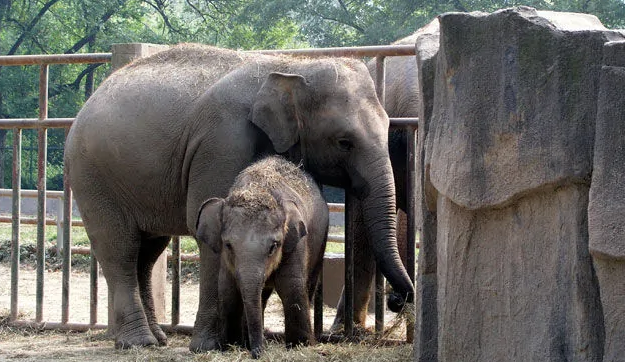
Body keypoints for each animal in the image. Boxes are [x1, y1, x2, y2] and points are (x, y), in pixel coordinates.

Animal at [196, 156, 330, 360]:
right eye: (228, 245)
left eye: (274, 246)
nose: (256, 353)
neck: (257, 188)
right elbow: (228, 289)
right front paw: (231, 345)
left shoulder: (295, 242)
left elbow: (290, 285)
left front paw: (301, 345)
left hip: (320, 240)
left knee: (308, 283)